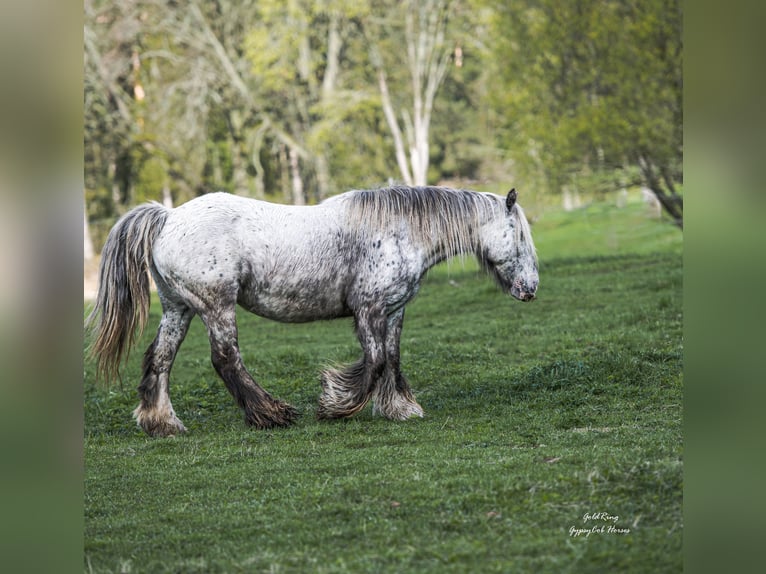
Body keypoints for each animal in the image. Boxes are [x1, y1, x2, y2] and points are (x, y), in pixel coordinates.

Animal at [86, 185, 538, 437]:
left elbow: (392, 358)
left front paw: (400, 408)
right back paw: (271, 415)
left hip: (179, 308)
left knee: (160, 359)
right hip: (217, 306)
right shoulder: (369, 310)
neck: (399, 231)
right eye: (518, 234)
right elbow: (375, 361)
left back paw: (162, 423)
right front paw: (336, 404)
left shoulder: (394, 311)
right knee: (226, 359)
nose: (531, 289)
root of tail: (167, 217)